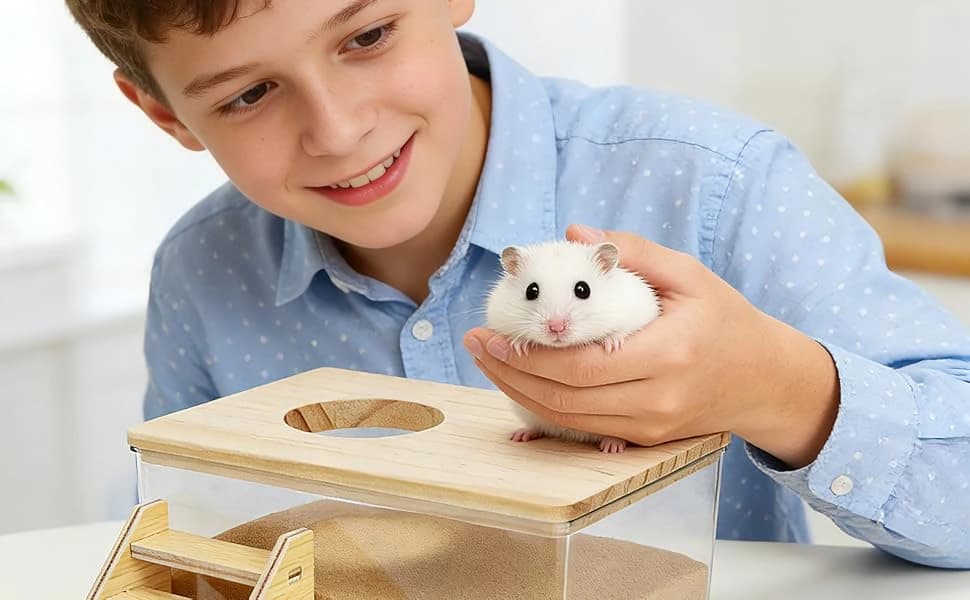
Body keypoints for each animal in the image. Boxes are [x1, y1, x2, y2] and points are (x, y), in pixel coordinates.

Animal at [484, 239, 661, 453]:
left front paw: (611, 345)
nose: (556, 328)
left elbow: (623, 330)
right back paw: (520, 435)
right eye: (531, 291)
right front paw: (519, 346)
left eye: (582, 289)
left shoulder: (639, 310)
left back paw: (612, 447)